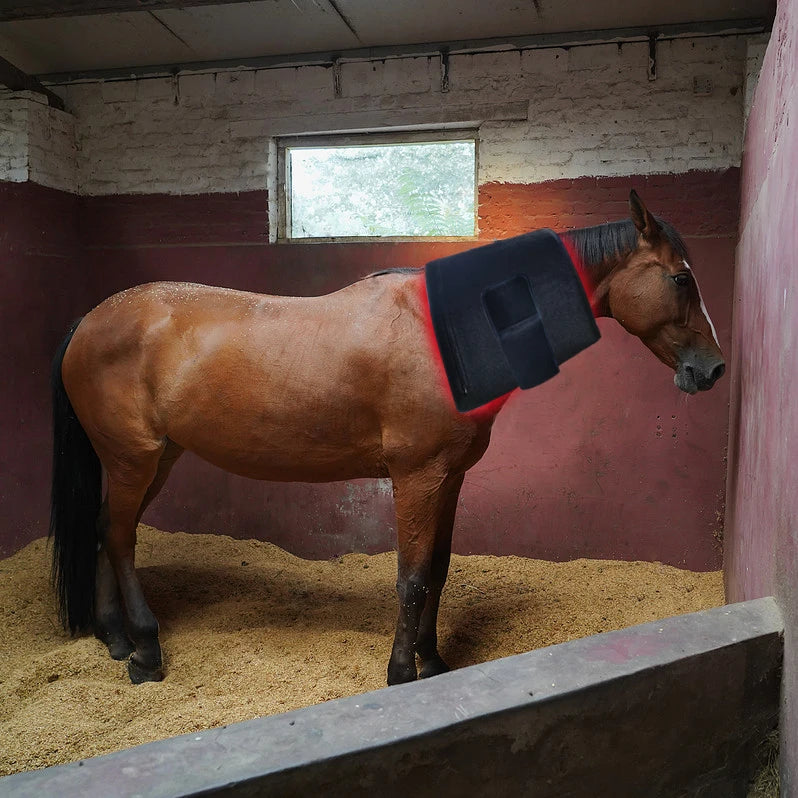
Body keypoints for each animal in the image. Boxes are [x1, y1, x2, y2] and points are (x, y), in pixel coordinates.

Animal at [49, 191, 725, 685]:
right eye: (680, 280)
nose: (713, 369)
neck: (447, 335)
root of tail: (88, 320)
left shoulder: (450, 477)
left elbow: (439, 569)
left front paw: (434, 660)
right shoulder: (416, 477)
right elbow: (412, 576)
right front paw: (402, 672)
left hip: (155, 459)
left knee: (110, 529)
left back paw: (116, 639)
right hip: (134, 459)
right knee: (120, 537)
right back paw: (145, 651)